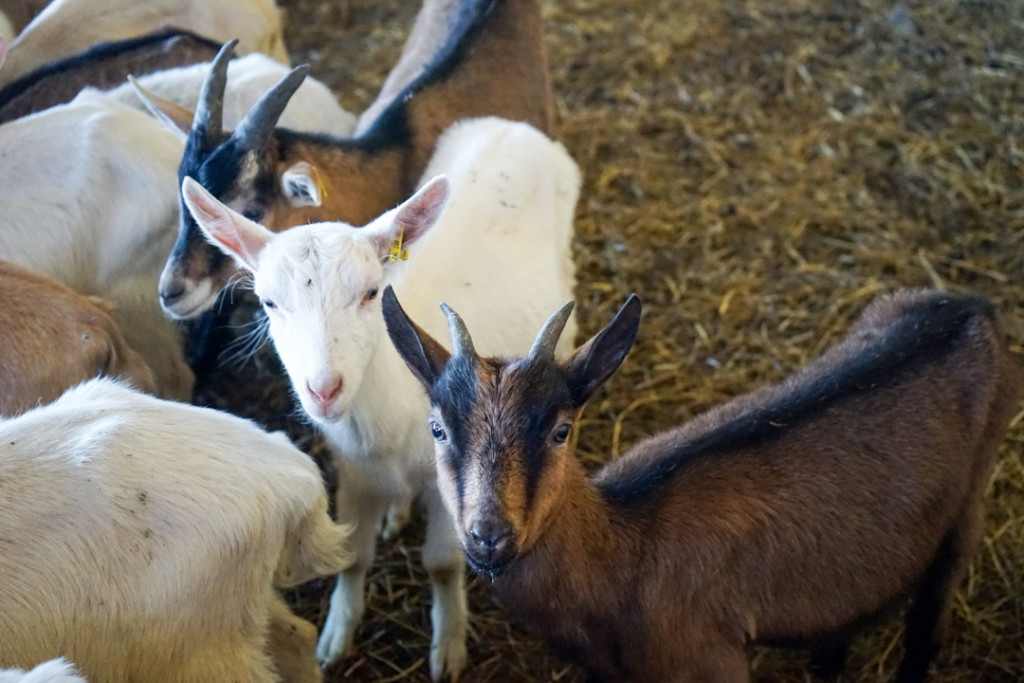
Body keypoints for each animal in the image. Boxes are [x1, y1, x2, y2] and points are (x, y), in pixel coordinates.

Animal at [182, 114, 585, 679]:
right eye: (268, 302)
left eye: (371, 293)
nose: (324, 389)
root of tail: (510, 126)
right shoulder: (355, 470)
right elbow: (353, 556)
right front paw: (335, 637)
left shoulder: (454, 481)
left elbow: (442, 564)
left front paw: (448, 645)